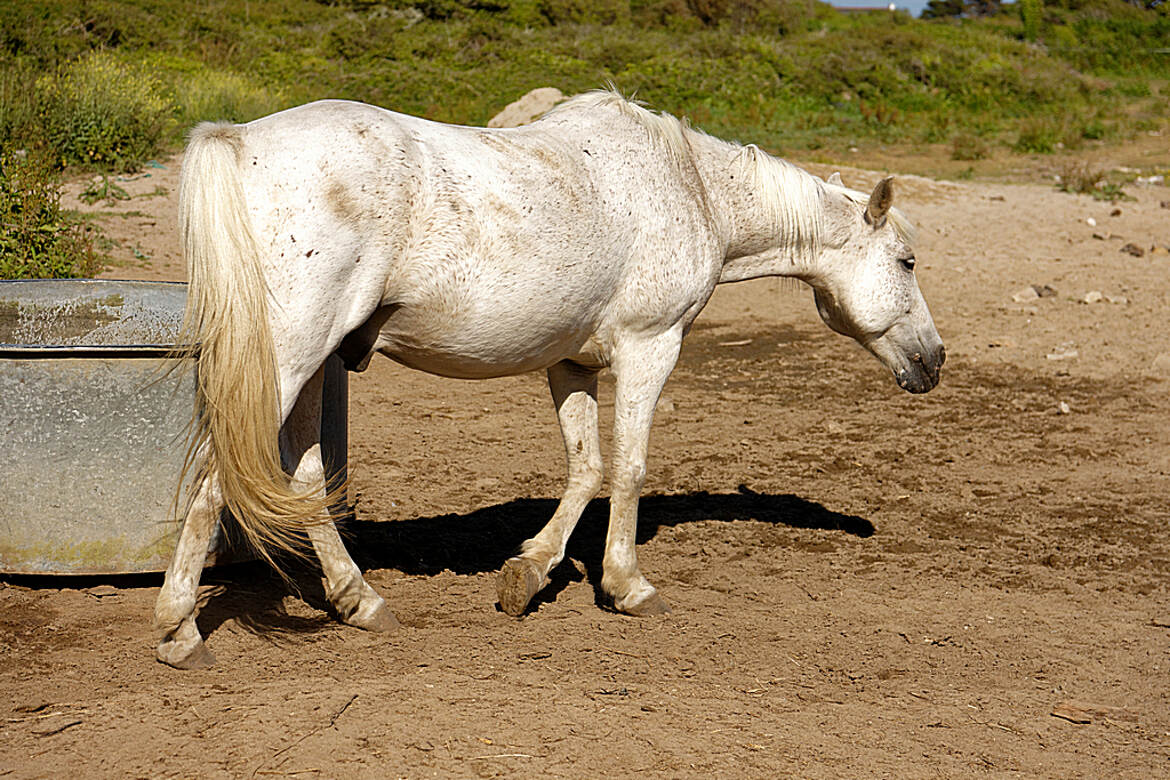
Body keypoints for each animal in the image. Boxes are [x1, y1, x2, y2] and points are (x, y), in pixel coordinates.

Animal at [154, 91, 944, 669]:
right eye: (906, 261)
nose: (934, 361)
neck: (690, 188)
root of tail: (240, 141)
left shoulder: (570, 363)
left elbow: (586, 467)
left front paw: (529, 573)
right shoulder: (650, 349)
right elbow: (629, 467)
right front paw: (627, 586)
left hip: (315, 363)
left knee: (306, 479)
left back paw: (361, 602)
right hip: (286, 362)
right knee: (215, 479)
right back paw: (178, 632)